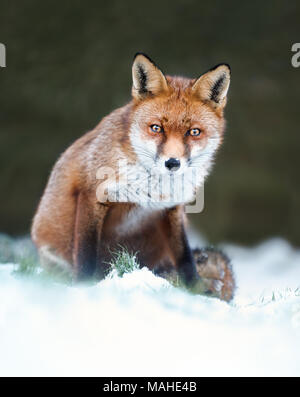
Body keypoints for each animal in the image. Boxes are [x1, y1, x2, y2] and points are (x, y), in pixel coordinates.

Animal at [31, 53, 236, 300]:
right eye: (156, 128)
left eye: (194, 132)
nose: (172, 163)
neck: (152, 189)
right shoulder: (92, 195)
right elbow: (86, 255)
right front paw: (84, 288)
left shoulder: (172, 208)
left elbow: (185, 258)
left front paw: (195, 290)